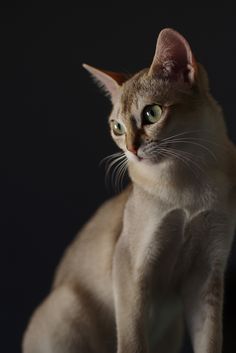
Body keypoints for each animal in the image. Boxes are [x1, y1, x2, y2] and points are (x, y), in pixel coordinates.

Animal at [22, 27, 236, 352]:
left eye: (152, 113)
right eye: (117, 127)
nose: (132, 150)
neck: (189, 184)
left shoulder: (206, 274)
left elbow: (210, 340)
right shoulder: (129, 266)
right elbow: (132, 339)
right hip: (67, 305)